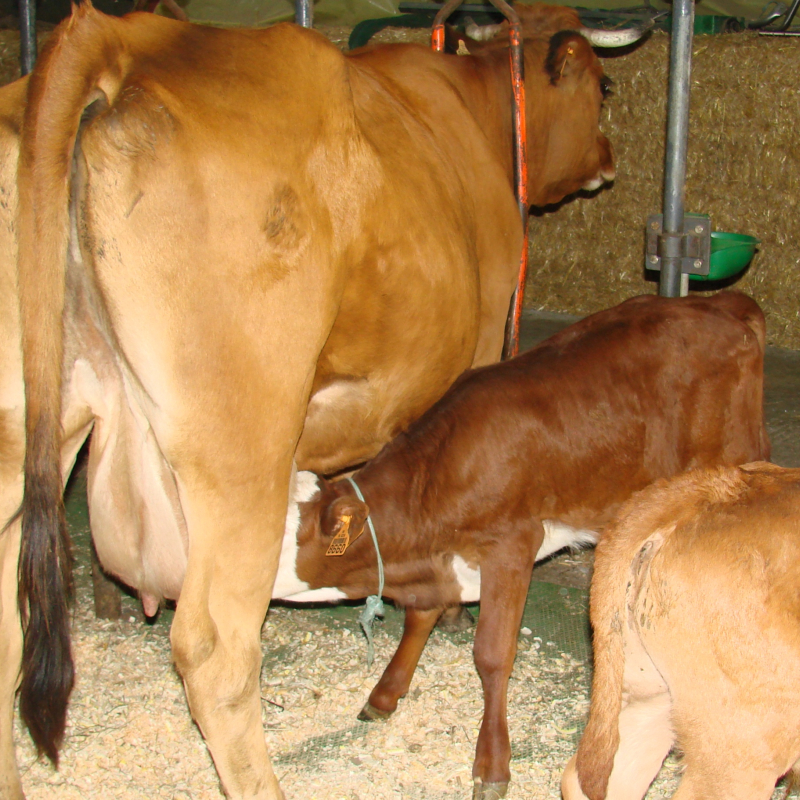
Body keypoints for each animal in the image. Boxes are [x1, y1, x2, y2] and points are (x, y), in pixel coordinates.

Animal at [0, 3, 636, 796]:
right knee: (215, 650)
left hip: (29, 429)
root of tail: (122, 37)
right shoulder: (480, 351)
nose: (608, 157)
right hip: (242, 447)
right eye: (604, 85)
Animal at [274, 292, 768, 800]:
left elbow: (492, 655)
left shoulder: (511, 546)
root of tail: (720, 303)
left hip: (737, 453)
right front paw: (384, 695)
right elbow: (420, 620)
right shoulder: (443, 563)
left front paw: (492, 764)